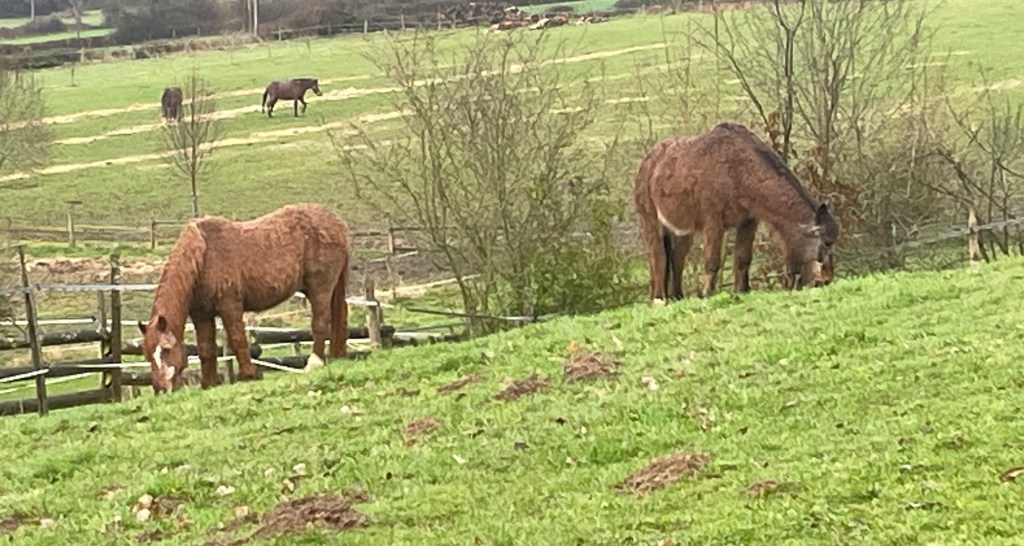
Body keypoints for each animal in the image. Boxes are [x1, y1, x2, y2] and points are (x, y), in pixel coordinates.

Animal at [137, 203, 350, 394]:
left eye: (165, 349)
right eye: (147, 355)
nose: (160, 389)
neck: (203, 256)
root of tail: (337, 223)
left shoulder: (230, 306)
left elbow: (238, 339)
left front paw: (250, 374)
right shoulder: (202, 316)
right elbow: (206, 349)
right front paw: (209, 383)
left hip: (320, 288)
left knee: (320, 322)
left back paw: (314, 362)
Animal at [633, 122, 839, 301]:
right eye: (824, 243)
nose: (825, 280)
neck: (738, 168)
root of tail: (648, 161)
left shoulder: (748, 221)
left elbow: (743, 258)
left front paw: (741, 290)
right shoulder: (713, 222)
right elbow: (712, 261)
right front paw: (707, 293)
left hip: (682, 230)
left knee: (677, 258)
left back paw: (676, 296)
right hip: (650, 221)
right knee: (657, 257)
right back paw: (659, 298)